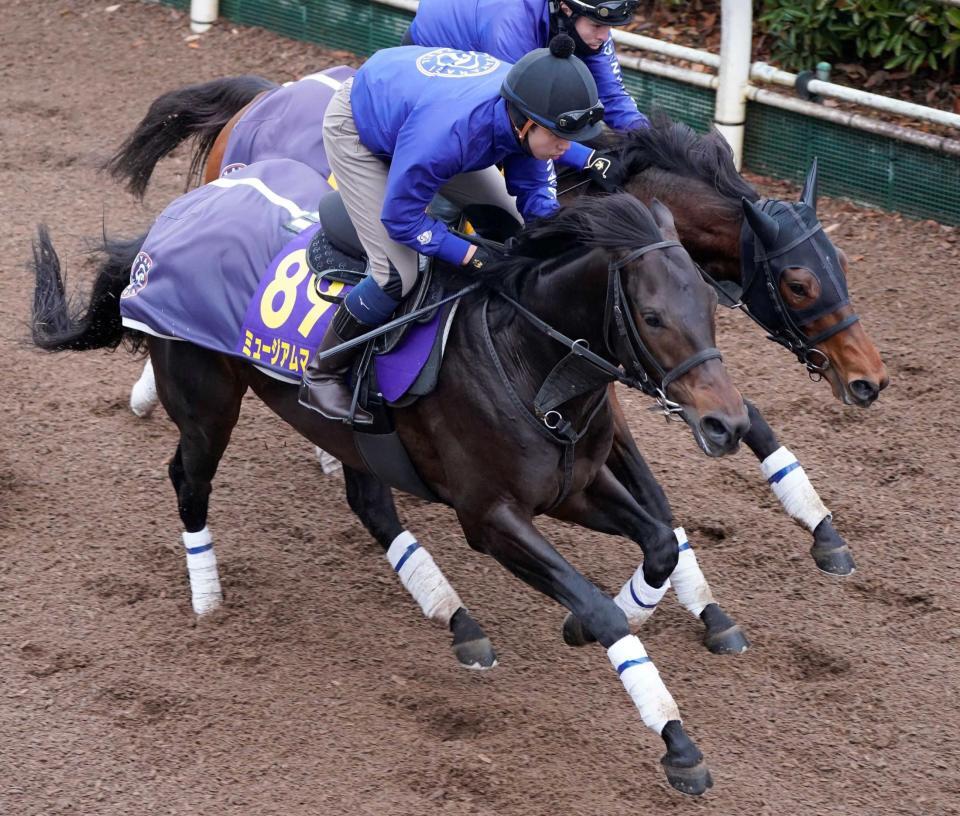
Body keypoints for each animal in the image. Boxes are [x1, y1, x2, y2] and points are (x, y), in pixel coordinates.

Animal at [31, 163, 747, 795]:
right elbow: (599, 605)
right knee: (188, 479)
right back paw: (207, 599)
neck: (529, 362)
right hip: (207, 402)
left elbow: (658, 539)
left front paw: (609, 621)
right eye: (652, 316)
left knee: (370, 504)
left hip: (351, 437)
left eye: (709, 306)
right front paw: (677, 744)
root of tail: (175, 216)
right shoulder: (489, 516)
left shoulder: (572, 486)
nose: (728, 423)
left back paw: (458, 620)